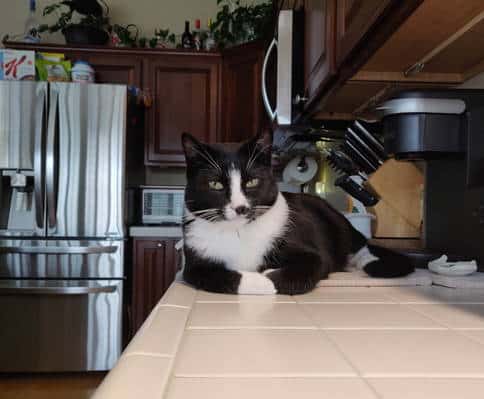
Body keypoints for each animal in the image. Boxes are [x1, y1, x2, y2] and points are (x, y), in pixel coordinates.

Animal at [180, 133, 414, 296]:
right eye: (216, 184)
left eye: (252, 181)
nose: (241, 208)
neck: (238, 232)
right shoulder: (194, 265)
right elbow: (216, 275)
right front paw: (258, 280)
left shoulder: (313, 253)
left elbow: (310, 265)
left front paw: (267, 277)